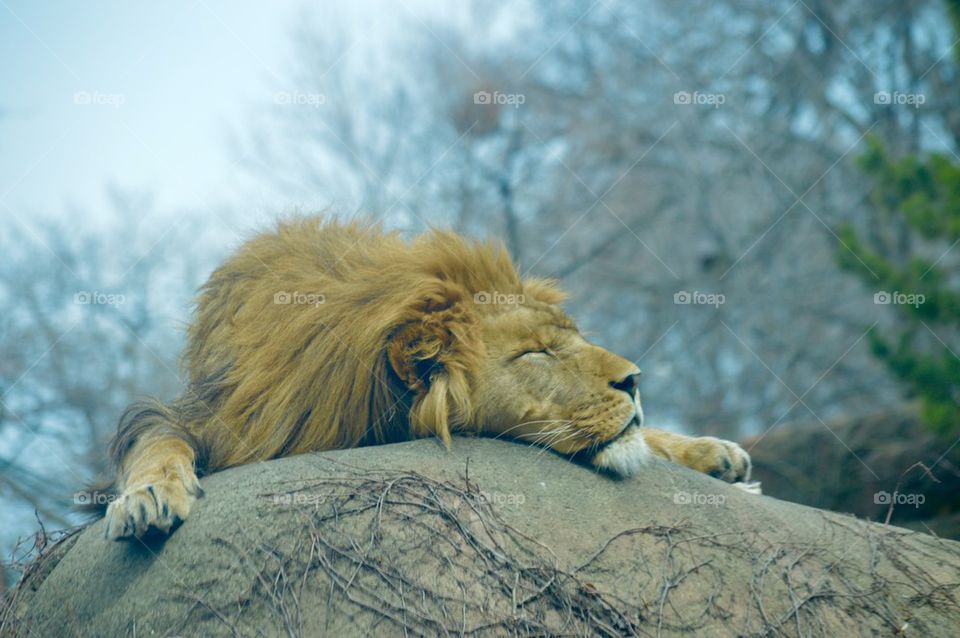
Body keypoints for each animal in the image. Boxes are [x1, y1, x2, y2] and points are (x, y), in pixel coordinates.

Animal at [92, 217, 758, 540]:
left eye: (574, 337)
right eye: (536, 353)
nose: (637, 379)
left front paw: (705, 451)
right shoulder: (206, 418)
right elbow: (157, 440)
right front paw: (147, 497)